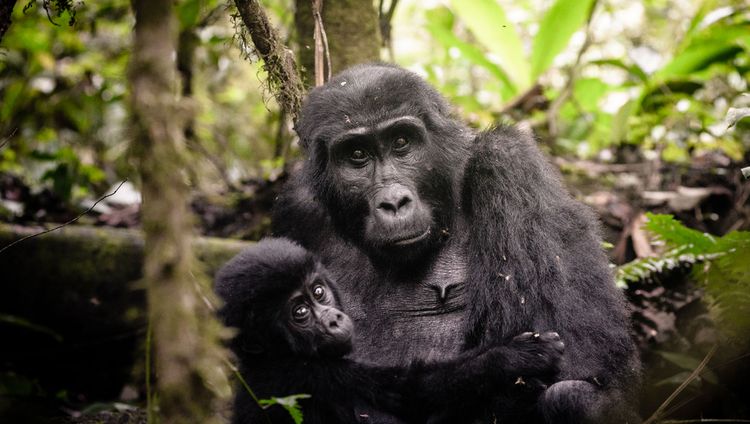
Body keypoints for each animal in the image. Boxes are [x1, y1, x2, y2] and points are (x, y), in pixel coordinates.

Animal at [216, 238, 564, 424]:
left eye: (318, 292)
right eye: (299, 313)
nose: (333, 319)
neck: (270, 357)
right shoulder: (308, 375)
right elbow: (411, 394)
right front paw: (512, 358)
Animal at [274, 63, 636, 424]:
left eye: (401, 142)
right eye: (357, 155)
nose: (393, 203)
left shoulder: (509, 162)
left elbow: (583, 356)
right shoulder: (296, 211)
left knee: (569, 396)